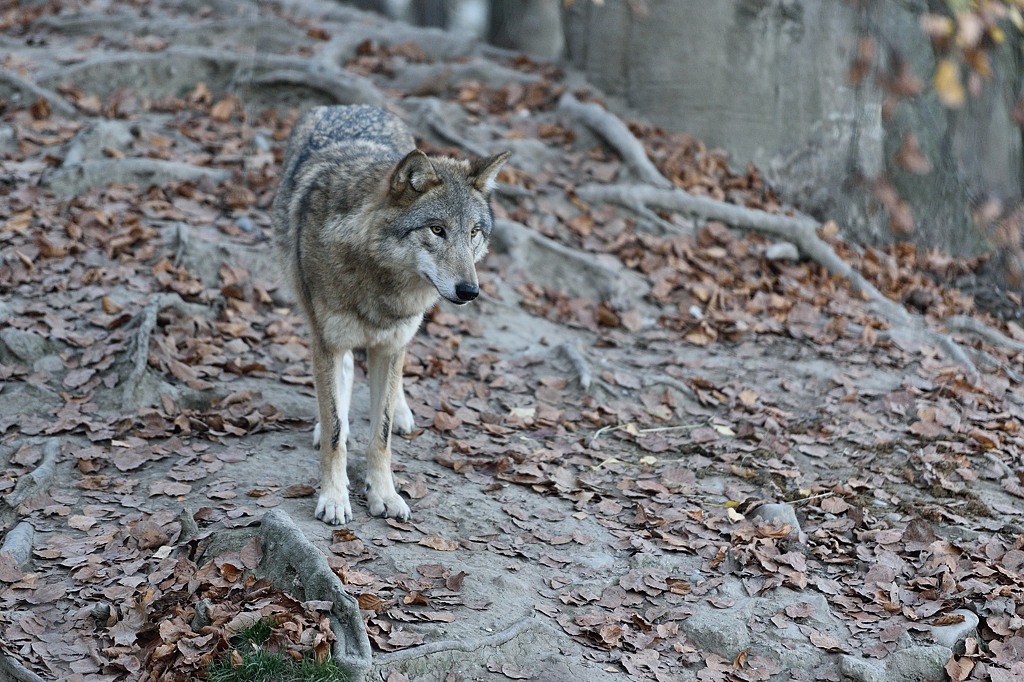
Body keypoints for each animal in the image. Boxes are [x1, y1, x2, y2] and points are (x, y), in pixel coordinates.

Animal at [273, 105, 509, 525]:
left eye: (474, 233)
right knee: (343, 379)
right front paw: (334, 497)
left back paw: (401, 412)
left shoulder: (391, 343)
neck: (379, 284)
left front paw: (384, 493)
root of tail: (349, 106)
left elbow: (380, 435)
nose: (470, 291)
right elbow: (335, 431)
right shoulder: (328, 341)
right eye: (437, 229)